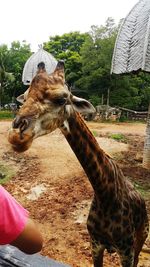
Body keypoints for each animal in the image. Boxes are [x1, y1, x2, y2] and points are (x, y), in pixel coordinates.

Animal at [8, 61, 149, 267]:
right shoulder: (95, 244)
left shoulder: (126, 250)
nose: (16, 137)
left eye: (61, 99)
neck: (105, 193)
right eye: (24, 98)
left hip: (141, 234)